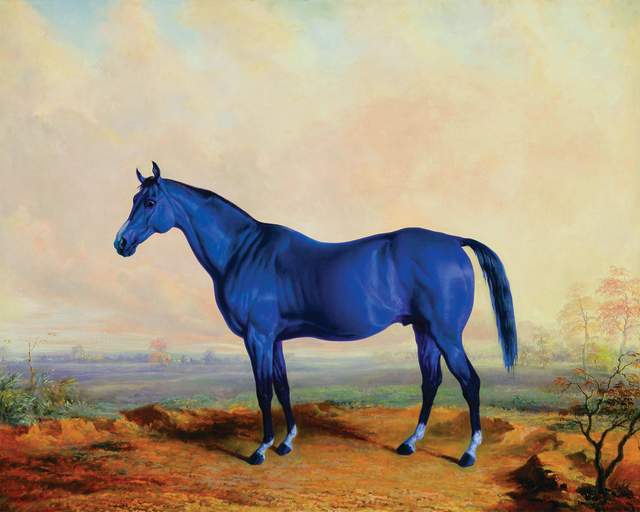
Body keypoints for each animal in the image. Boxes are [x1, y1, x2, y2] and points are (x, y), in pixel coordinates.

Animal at [114, 162, 517, 466]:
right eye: (133, 199)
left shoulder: (257, 337)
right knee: (431, 381)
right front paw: (286, 442)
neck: (243, 252)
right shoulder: (273, 339)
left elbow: (263, 390)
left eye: (150, 201)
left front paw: (260, 449)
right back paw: (409, 443)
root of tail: (453, 241)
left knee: (469, 382)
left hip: (446, 334)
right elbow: (283, 386)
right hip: (424, 331)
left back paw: (468, 453)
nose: (121, 242)